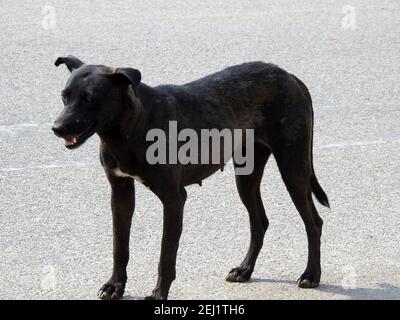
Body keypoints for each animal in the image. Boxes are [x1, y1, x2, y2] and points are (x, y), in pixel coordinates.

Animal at [52, 55, 328, 300]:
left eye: (89, 98)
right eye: (64, 96)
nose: (56, 128)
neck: (129, 128)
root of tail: (289, 76)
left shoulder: (174, 199)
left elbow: (166, 254)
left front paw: (159, 293)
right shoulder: (120, 192)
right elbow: (120, 246)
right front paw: (114, 286)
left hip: (293, 169)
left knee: (313, 222)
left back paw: (311, 275)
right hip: (246, 176)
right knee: (259, 221)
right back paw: (244, 269)